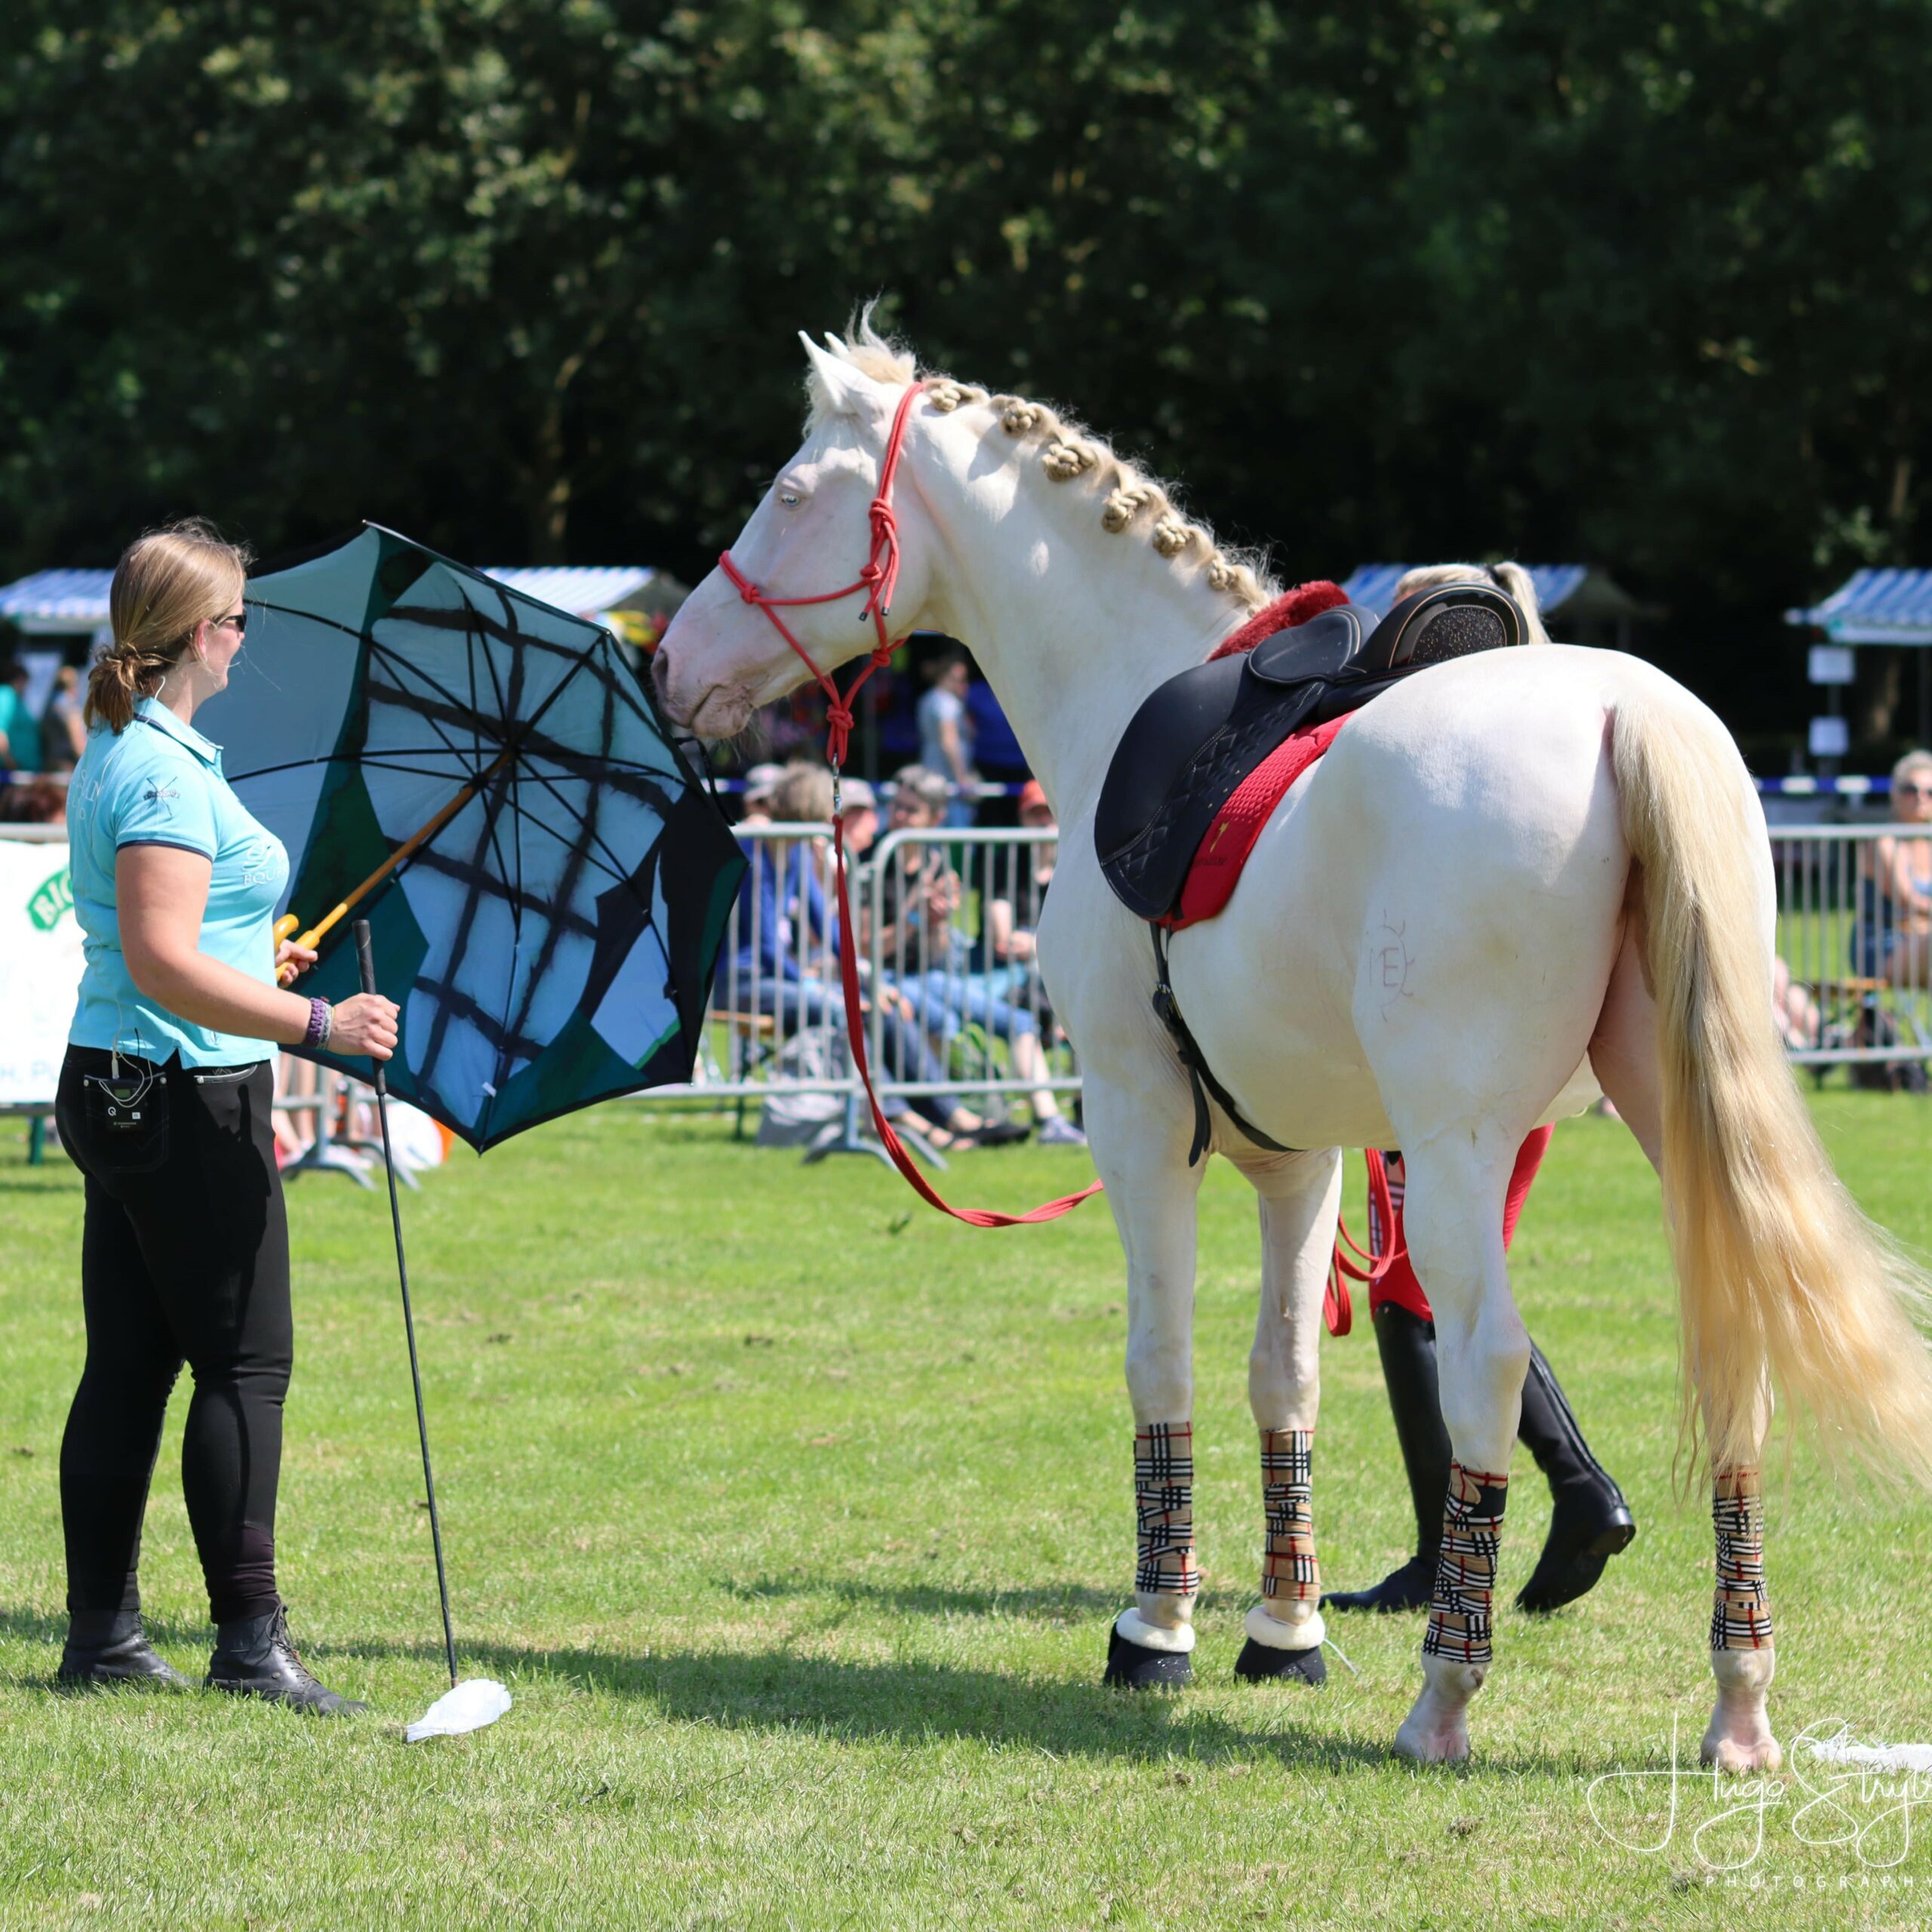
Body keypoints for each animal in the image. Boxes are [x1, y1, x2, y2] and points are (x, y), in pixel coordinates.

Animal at [657, 320, 1932, 1769]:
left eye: (790, 494)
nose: (673, 666)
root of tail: (1623, 717)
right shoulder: (1300, 1158)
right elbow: (1288, 1377)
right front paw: (1284, 1629)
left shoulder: (1141, 1122)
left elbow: (1163, 1360)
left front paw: (1157, 1630)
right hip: (1672, 1124)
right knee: (1733, 1345)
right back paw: (1737, 1703)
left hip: (1459, 1154)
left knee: (1486, 1360)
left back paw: (1446, 1692)